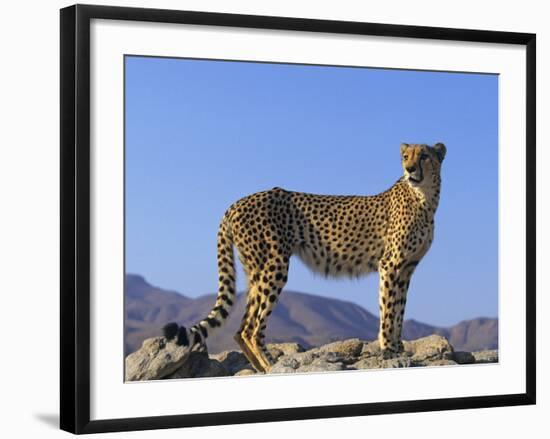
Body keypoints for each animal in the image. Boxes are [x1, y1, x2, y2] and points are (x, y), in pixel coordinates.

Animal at [164, 143, 448, 372]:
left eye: (424, 156)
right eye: (405, 156)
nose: (410, 169)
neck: (424, 198)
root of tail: (237, 202)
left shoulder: (407, 268)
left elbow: (399, 309)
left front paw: (398, 348)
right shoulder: (390, 265)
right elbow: (388, 310)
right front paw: (389, 351)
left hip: (255, 271)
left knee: (241, 329)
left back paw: (261, 369)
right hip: (274, 265)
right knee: (252, 328)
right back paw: (272, 366)